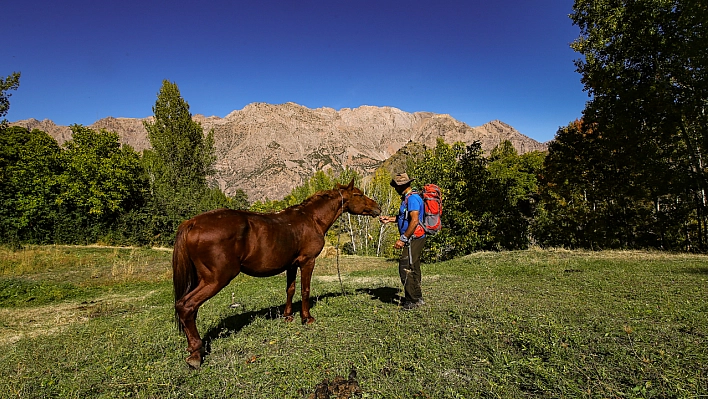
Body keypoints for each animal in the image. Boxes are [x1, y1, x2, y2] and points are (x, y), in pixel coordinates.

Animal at [172, 180, 382, 368]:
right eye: (358, 194)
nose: (378, 208)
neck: (311, 218)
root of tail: (192, 223)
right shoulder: (308, 262)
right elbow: (305, 290)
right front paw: (307, 318)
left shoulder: (291, 265)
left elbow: (290, 289)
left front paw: (288, 316)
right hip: (216, 279)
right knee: (186, 306)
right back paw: (196, 354)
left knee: (190, 310)